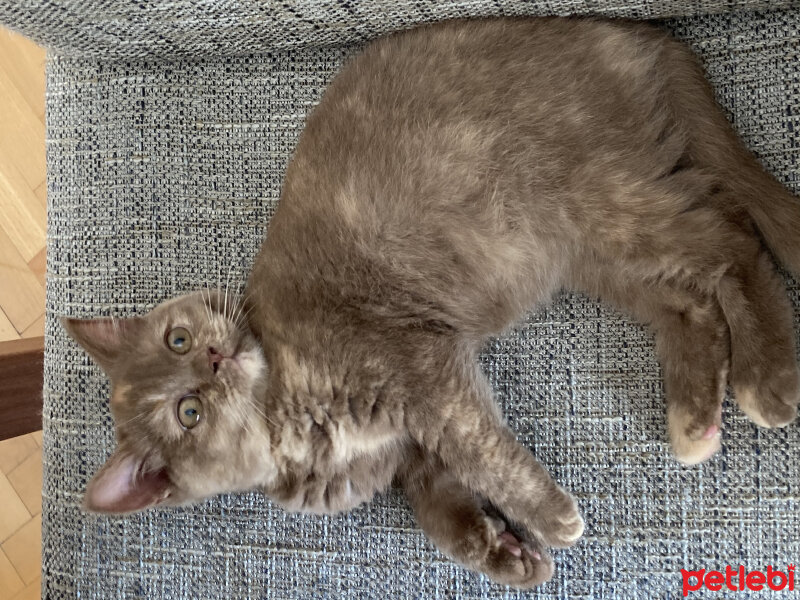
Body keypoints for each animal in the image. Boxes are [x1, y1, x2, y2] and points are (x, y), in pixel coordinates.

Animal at [62, 16, 800, 588]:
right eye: (187, 411)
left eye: (177, 340)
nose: (215, 356)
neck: (289, 421)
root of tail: (629, 29)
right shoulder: (410, 454)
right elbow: (438, 508)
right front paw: (505, 555)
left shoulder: (419, 365)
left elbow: (479, 446)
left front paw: (553, 516)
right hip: (591, 250)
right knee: (689, 293)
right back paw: (694, 417)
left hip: (596, 200)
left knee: (732, 237)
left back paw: (765, 379)